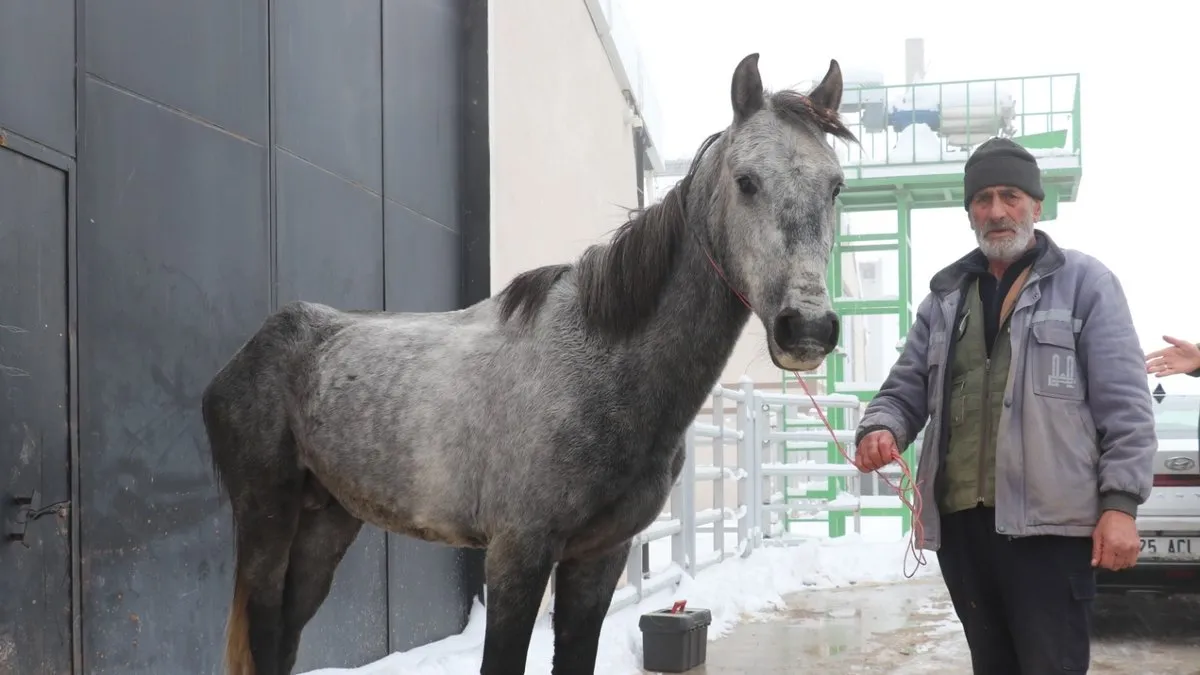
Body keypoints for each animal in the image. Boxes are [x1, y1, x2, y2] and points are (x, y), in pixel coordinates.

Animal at [206, 49, 859, 667]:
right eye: (746, 181)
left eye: (836, 187)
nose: (807, 327)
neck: (600, 365)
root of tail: (249, 352)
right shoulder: (517, 555)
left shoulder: (599, 558)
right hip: (267, 521)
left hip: (328, 521)